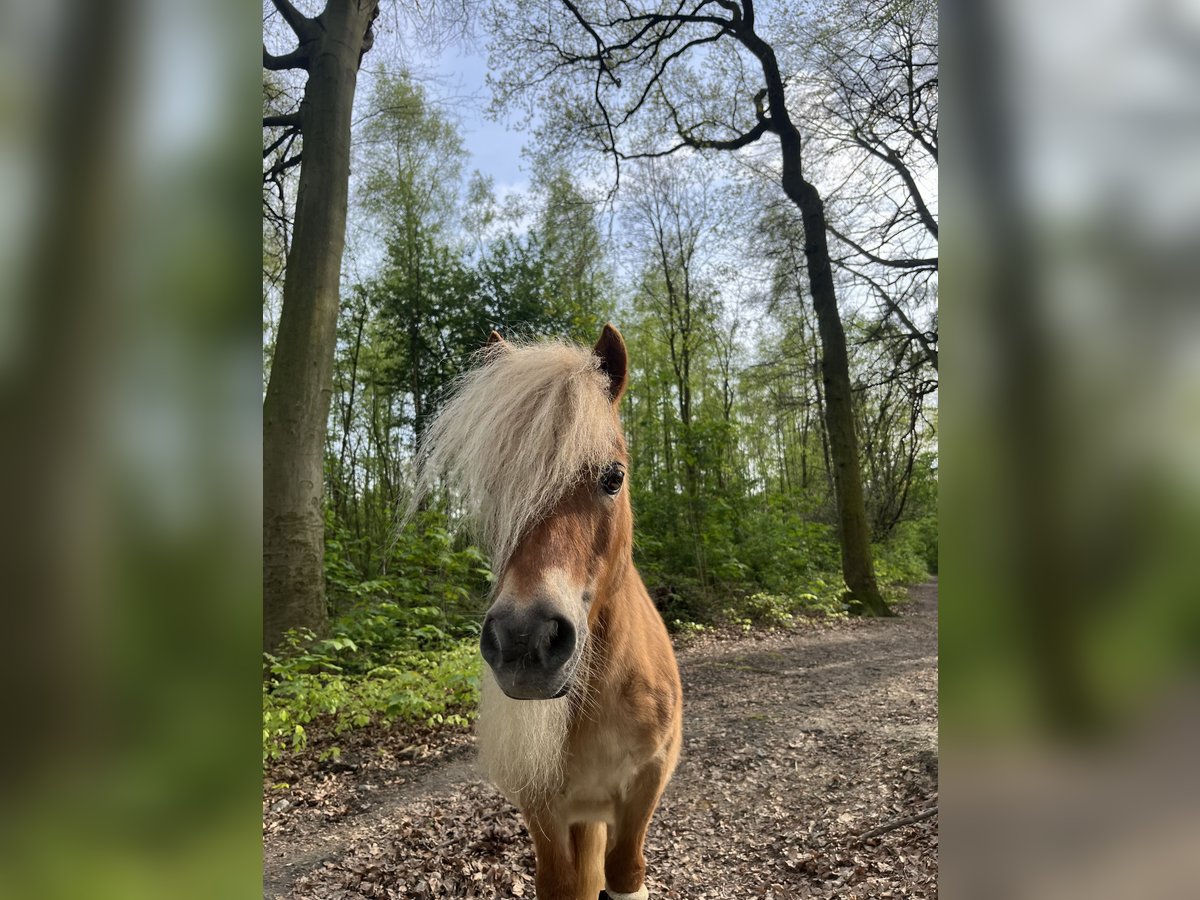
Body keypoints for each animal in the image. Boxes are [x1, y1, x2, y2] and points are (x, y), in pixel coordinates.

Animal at [415, 324, 681, 900]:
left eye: (613, 477)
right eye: (494, 492)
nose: (524, 640)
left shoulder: (647, 784)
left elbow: (625, 872)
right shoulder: (543, 811)